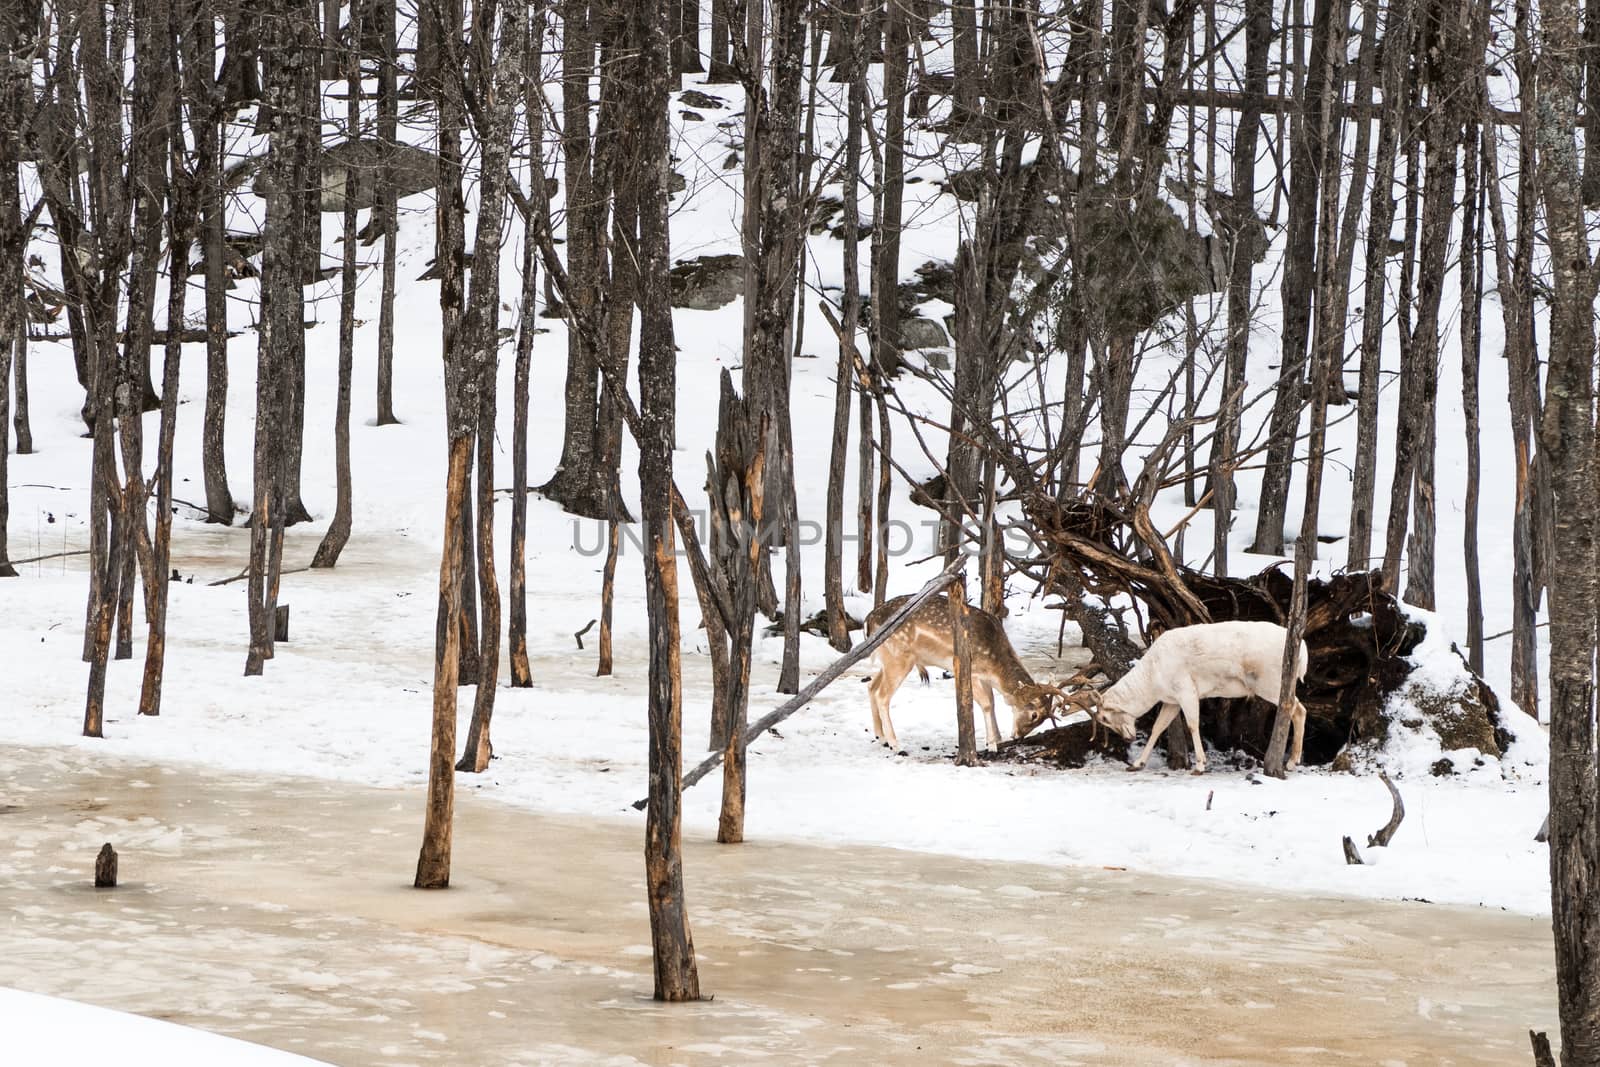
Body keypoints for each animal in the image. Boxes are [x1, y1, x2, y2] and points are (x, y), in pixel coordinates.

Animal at [857, 591, 1068, 751]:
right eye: (1034, 715)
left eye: (1041, 721)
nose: (1017, 736)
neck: (994, 667)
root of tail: (868, 621)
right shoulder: (972, 671)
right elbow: (986, 704)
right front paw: (992, 744)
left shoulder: (984, 677)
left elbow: (992, 701)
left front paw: (997, 738)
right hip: (899, 657)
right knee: (883, 695)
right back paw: (895, 744)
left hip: (887, 659)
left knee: (871, 686)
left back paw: (881, 737)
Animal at [1024, 620, 1312, 771]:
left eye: (1104, 717)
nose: (1128, 737)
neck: (1154, 679)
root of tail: (1304, 652)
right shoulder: (1171, 700)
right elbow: (1158, 727)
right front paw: (1138, 763)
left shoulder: (1186, 689)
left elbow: (1193, 724)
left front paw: (1200, 765)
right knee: (1300, 709)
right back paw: (1292, 759)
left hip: (1271, 682)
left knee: (1297, 709)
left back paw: (1291, 762)